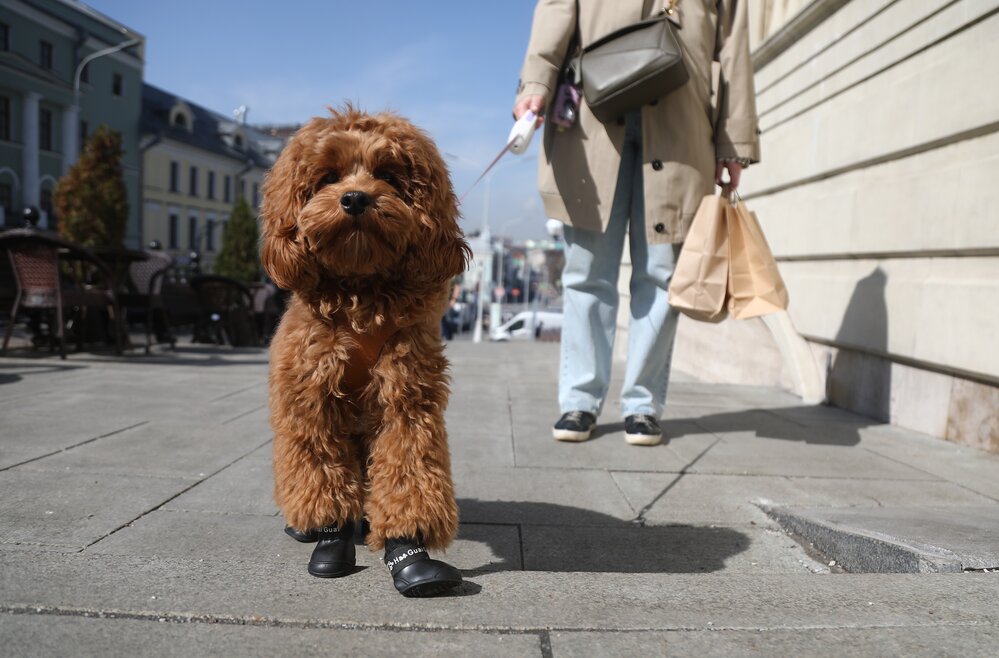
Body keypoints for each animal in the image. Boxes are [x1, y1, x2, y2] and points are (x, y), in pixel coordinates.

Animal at [262, 105, 472, 588]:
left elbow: (409, 466)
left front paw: (410, 551)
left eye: (389, 176)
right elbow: (321, 473)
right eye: (328, 176)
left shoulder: (407, 397)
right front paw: (329, 536)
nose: (356, 198)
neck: (360, 291)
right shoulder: (311, 402)